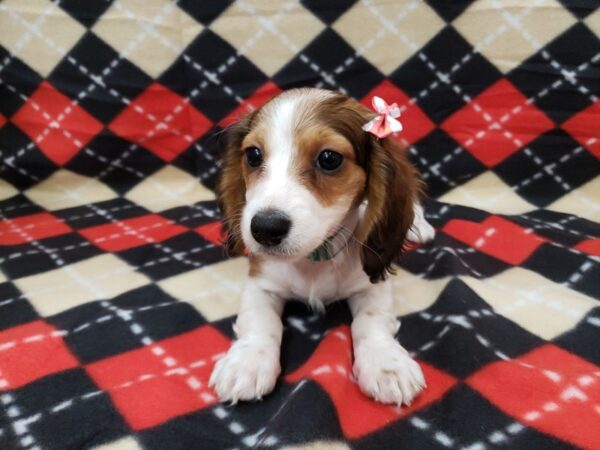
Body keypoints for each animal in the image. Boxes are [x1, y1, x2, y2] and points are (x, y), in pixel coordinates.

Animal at [211, 87, 436, 404]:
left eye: (329, 158)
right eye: (253, 155)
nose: (265, 229)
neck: (314, 257)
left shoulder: (371, 284)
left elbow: (371, 322)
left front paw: (386, 364)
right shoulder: (261, 281)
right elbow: (259, 321)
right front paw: (247, 361)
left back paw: (421, 226)